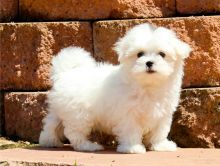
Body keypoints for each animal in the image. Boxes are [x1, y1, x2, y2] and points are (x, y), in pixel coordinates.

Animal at [39, 23, 191, 153]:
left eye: (162, 54)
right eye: (140, 54)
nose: (149, 63)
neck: (147, 85)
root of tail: (64, 73)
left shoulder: (163, 113)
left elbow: (160, 131)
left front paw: (161, 145)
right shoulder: (128, 113)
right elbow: (131, 130)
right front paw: (132, 148)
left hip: (61, 109)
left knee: (51, 124)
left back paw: (49, 141)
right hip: (79, 113)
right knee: (74, 132)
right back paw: (88, 146)